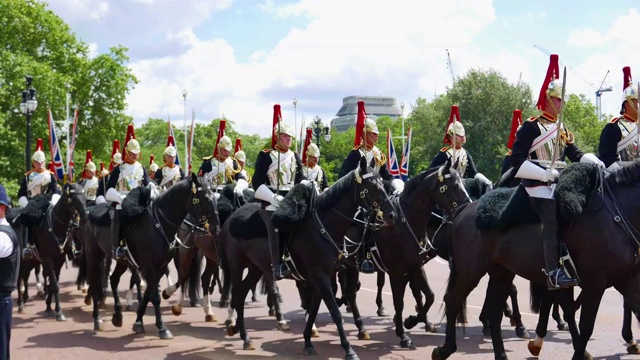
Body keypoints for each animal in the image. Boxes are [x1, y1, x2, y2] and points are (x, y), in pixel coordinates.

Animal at [432, 161, 640, 360]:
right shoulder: (595, 284)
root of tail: (465, 209)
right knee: (453, 299)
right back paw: (445, 349)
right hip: (471, 271)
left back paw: (502, 353)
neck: (614, 216)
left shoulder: (626, 279)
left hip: (501, 273)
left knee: (494, 312)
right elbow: (586, 327)